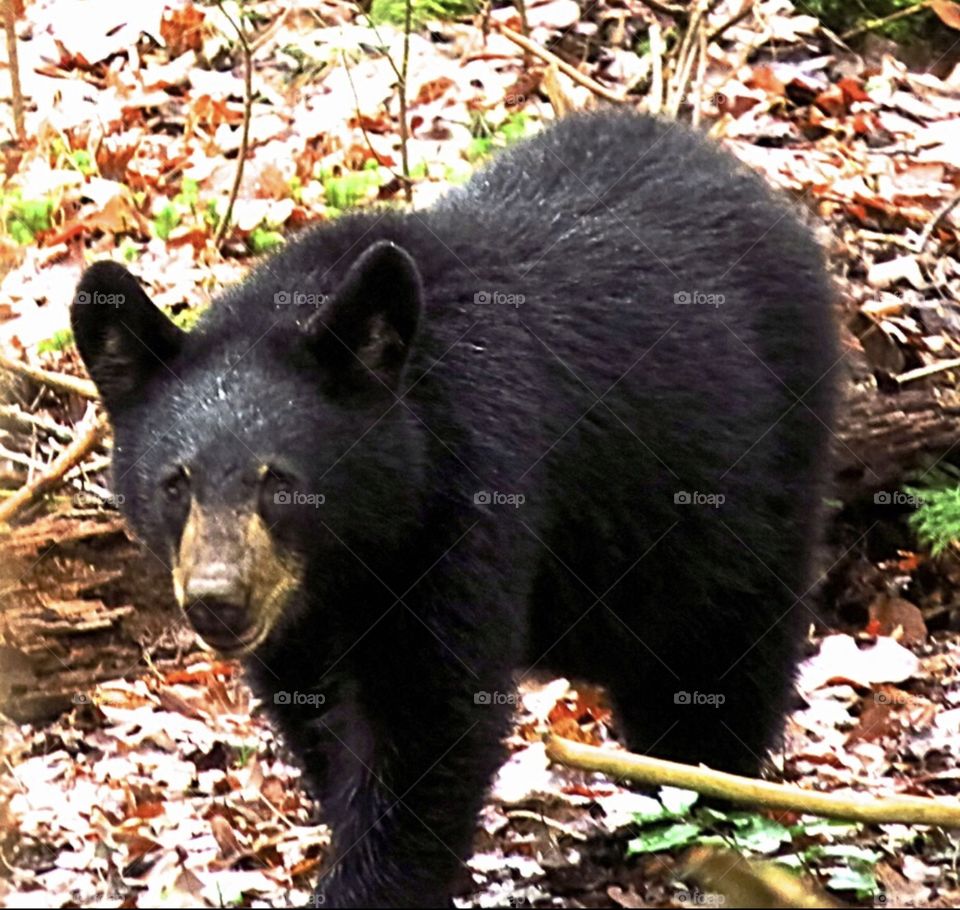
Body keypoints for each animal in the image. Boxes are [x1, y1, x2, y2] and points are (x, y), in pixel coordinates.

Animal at [71, 110, 835, 908]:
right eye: (175, 482)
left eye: (278, 481)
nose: (217, 600)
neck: (359, 550)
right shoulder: (301, 615)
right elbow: (320, 716)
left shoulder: (465, 503)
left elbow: (428, 721)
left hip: (748, 476)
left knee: (721, 649)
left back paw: (703, 804)